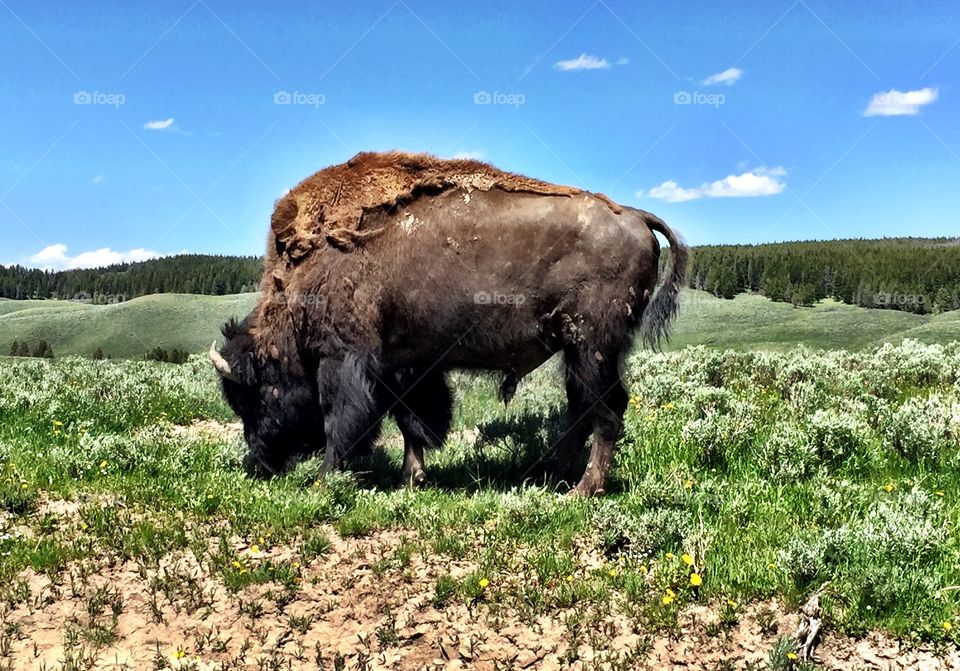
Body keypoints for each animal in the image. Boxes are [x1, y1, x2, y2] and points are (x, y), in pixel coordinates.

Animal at [210, 151, 686, 495]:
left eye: (253, 396)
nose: (259, 463)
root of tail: (634, 215)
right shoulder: (407, 367)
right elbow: (413, 422)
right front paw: (412, 479)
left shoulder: (344, 359)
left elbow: (341, 421)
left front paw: (323, 481)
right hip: (577, 352)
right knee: (581, 409)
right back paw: (552, 476)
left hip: (592, 345)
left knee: (606, 409)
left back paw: (583, 490)